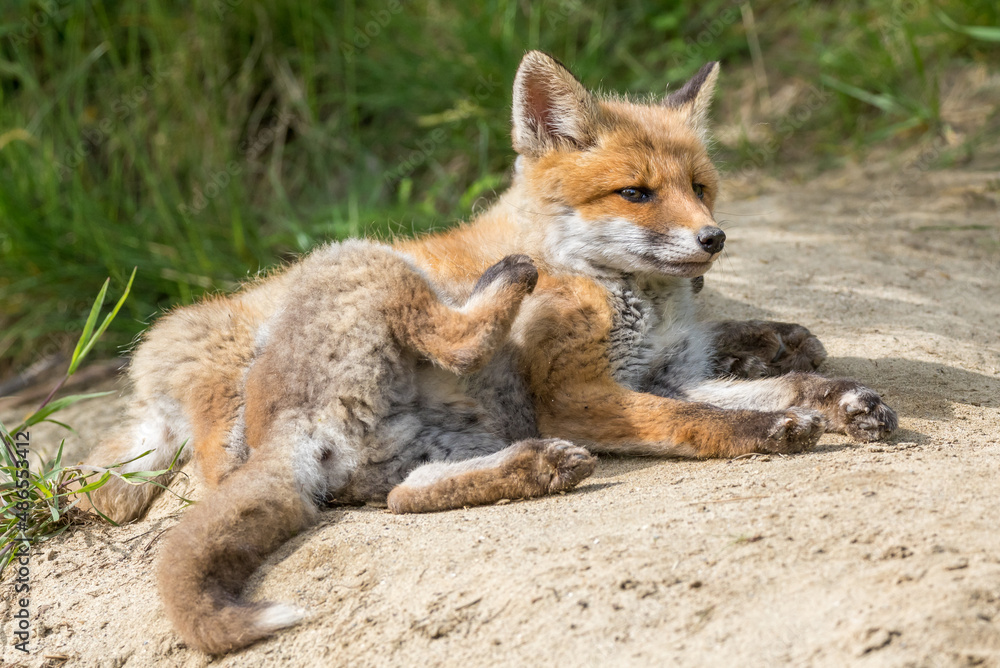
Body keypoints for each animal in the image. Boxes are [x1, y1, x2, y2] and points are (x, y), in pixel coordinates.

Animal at [78, 51, 897, 654]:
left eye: (700, 187)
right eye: (636, 193)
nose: (712, 239)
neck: (624, 292)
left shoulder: (669, 372)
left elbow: (779, 382)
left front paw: (838, 397)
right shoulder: (578, 396)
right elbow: (697, 422)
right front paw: (766, 429)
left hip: (426, 444)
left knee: (402, 498)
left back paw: (530, 467)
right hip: (361, 266)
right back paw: (502, 287)